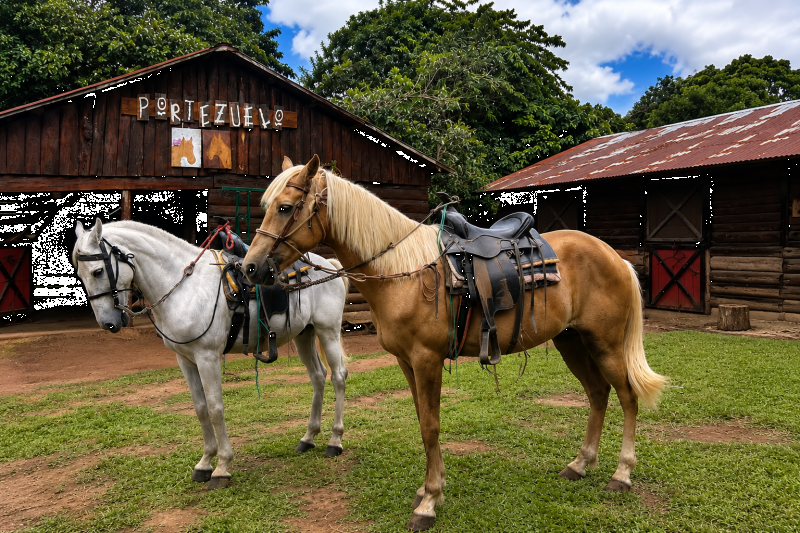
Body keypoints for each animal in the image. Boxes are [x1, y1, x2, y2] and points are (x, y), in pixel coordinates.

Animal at [73, 218, 350, 489]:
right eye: (79, 274)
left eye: (98, 271)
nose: (108, 323)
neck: (184, 287)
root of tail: (329, 265)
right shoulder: (185, 360)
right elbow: (201, 409)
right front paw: (205, 463)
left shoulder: (207, 357)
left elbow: (216, 408)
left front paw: (222, 467)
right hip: (305, 334)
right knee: (318, 377)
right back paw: (308, 438)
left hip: (327, 330)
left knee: (338, 376)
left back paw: (334, 441)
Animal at [242, 155, 668, 531]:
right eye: (264, 206)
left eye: (285, 207)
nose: (250, 267)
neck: (403, 271)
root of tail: (614, 256)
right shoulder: (406, 362)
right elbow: (421, 420)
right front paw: (431, 488)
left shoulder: (426, 359)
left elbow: (431, 426)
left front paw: (429, 502)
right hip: (572, 342)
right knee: (598, 394)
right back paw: (581, 464)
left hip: (605, 344)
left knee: (627, 396)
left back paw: (622, 474)